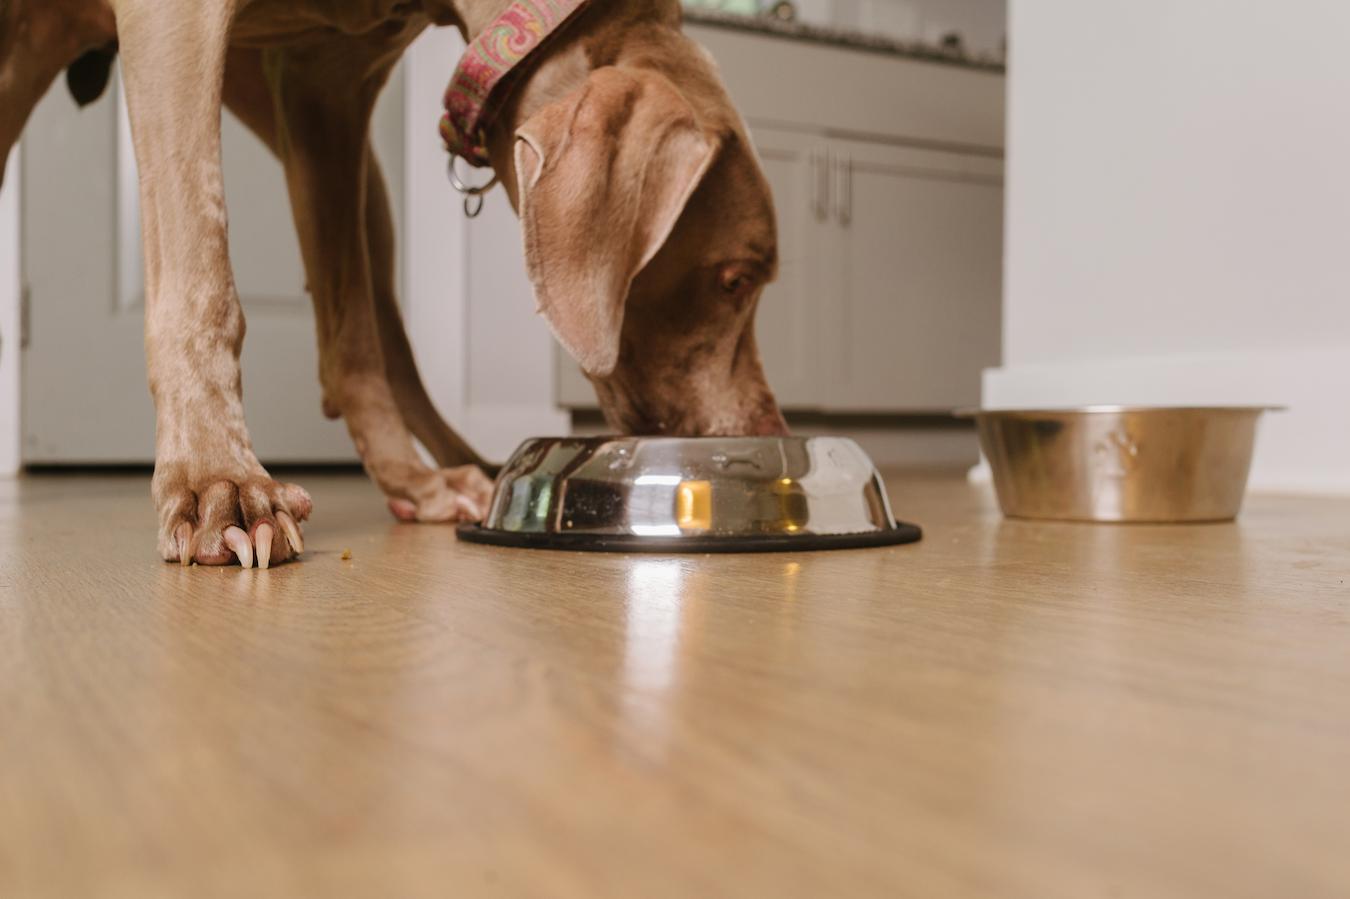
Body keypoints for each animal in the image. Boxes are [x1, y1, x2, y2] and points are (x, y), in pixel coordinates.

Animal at [0, 0, 788, 564]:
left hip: (362, 184)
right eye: (735, 281)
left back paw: (440, 475)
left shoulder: (326, 83)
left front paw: (407, 475)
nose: (773, 434)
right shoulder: (182, 25)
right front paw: (215, 481)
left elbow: (354, 340)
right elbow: (202, 263)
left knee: (378, 334)